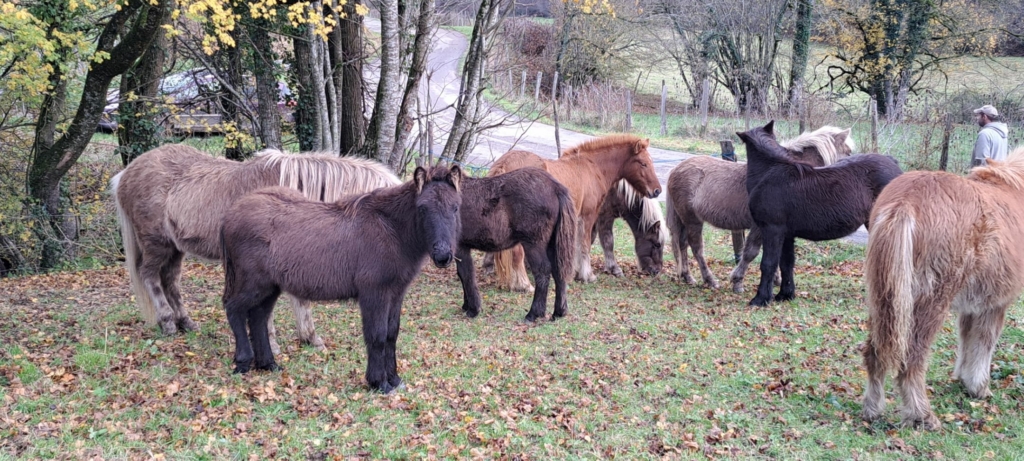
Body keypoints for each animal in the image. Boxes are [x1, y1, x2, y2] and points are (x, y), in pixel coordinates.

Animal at [111, 142, 399, 350]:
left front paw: (310, 339)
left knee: (170, 281)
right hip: (156, 243)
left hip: (175, 248)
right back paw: (168, 323)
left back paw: (186, 323)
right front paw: (272, 344)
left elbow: (301, 300)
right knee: (150, 277)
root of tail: (126, 174)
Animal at [489, 134, 663, 290]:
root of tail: (504, 165)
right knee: (517, 252)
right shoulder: (589, 216)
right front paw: (588, 275)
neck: (592, 167)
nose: (657, 191)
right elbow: (586, 244)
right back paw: (524, 285)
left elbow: (578, 244)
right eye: (643, 163)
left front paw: (574, 273)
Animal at [663, 124, 856, 290]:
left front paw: (776, 280)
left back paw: (687, 276)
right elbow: (751, 252)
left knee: (682, 244)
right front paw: (738, 282)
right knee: (696, 247)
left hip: (684, 220)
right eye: (848, 152)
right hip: (693, 220)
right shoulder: (759, 227)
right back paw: (710, 280)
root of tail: (676, 169)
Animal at [737, 121, 905, 305]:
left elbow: (768, 263)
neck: (769, 172)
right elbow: (786, 263)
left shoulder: (772, 230)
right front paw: (785, 295)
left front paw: (760, 299)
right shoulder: (786, 234)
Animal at [860, 149, 1024, 430]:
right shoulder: (995, 305)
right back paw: (922, 416)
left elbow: (966, 338)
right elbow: (985, 341)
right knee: (911, 360)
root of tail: (905, 202)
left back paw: (873, 409)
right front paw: (979, 387)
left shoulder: (973, 306)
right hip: (931, 301)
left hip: (885, 299)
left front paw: (964, 379)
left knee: (875, 351)